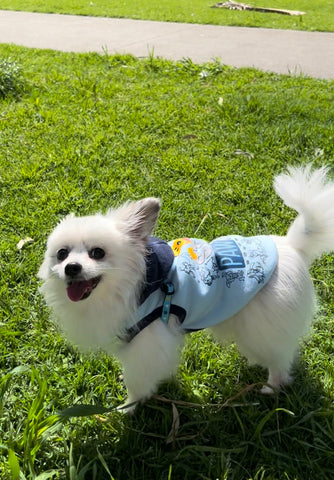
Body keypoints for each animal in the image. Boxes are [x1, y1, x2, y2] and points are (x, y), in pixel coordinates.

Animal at [37, 166, 334, 408]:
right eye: (62, 254)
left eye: (97, 253)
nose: (71, 268)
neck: (133, 286)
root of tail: (292, 246)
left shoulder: (146, 342)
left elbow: (137, 380)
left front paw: (127, 407)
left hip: (264, 325)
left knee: (280, 360)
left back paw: (271, 386)